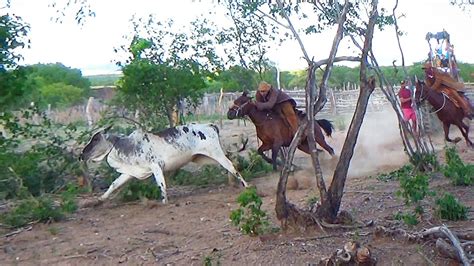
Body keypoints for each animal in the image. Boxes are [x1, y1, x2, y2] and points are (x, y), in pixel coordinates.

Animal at [78, 123, 248, 203]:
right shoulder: (129, 173)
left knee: (231, 166)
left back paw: (246, 186)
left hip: (216, 153)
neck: (127, 145)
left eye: (96, 139)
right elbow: (114, 185)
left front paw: (164, 201)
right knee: (231, 162)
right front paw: (100, 200)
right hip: (206, 157)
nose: (82, 154)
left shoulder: (156, 166)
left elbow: (161, 184)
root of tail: (209, 125)